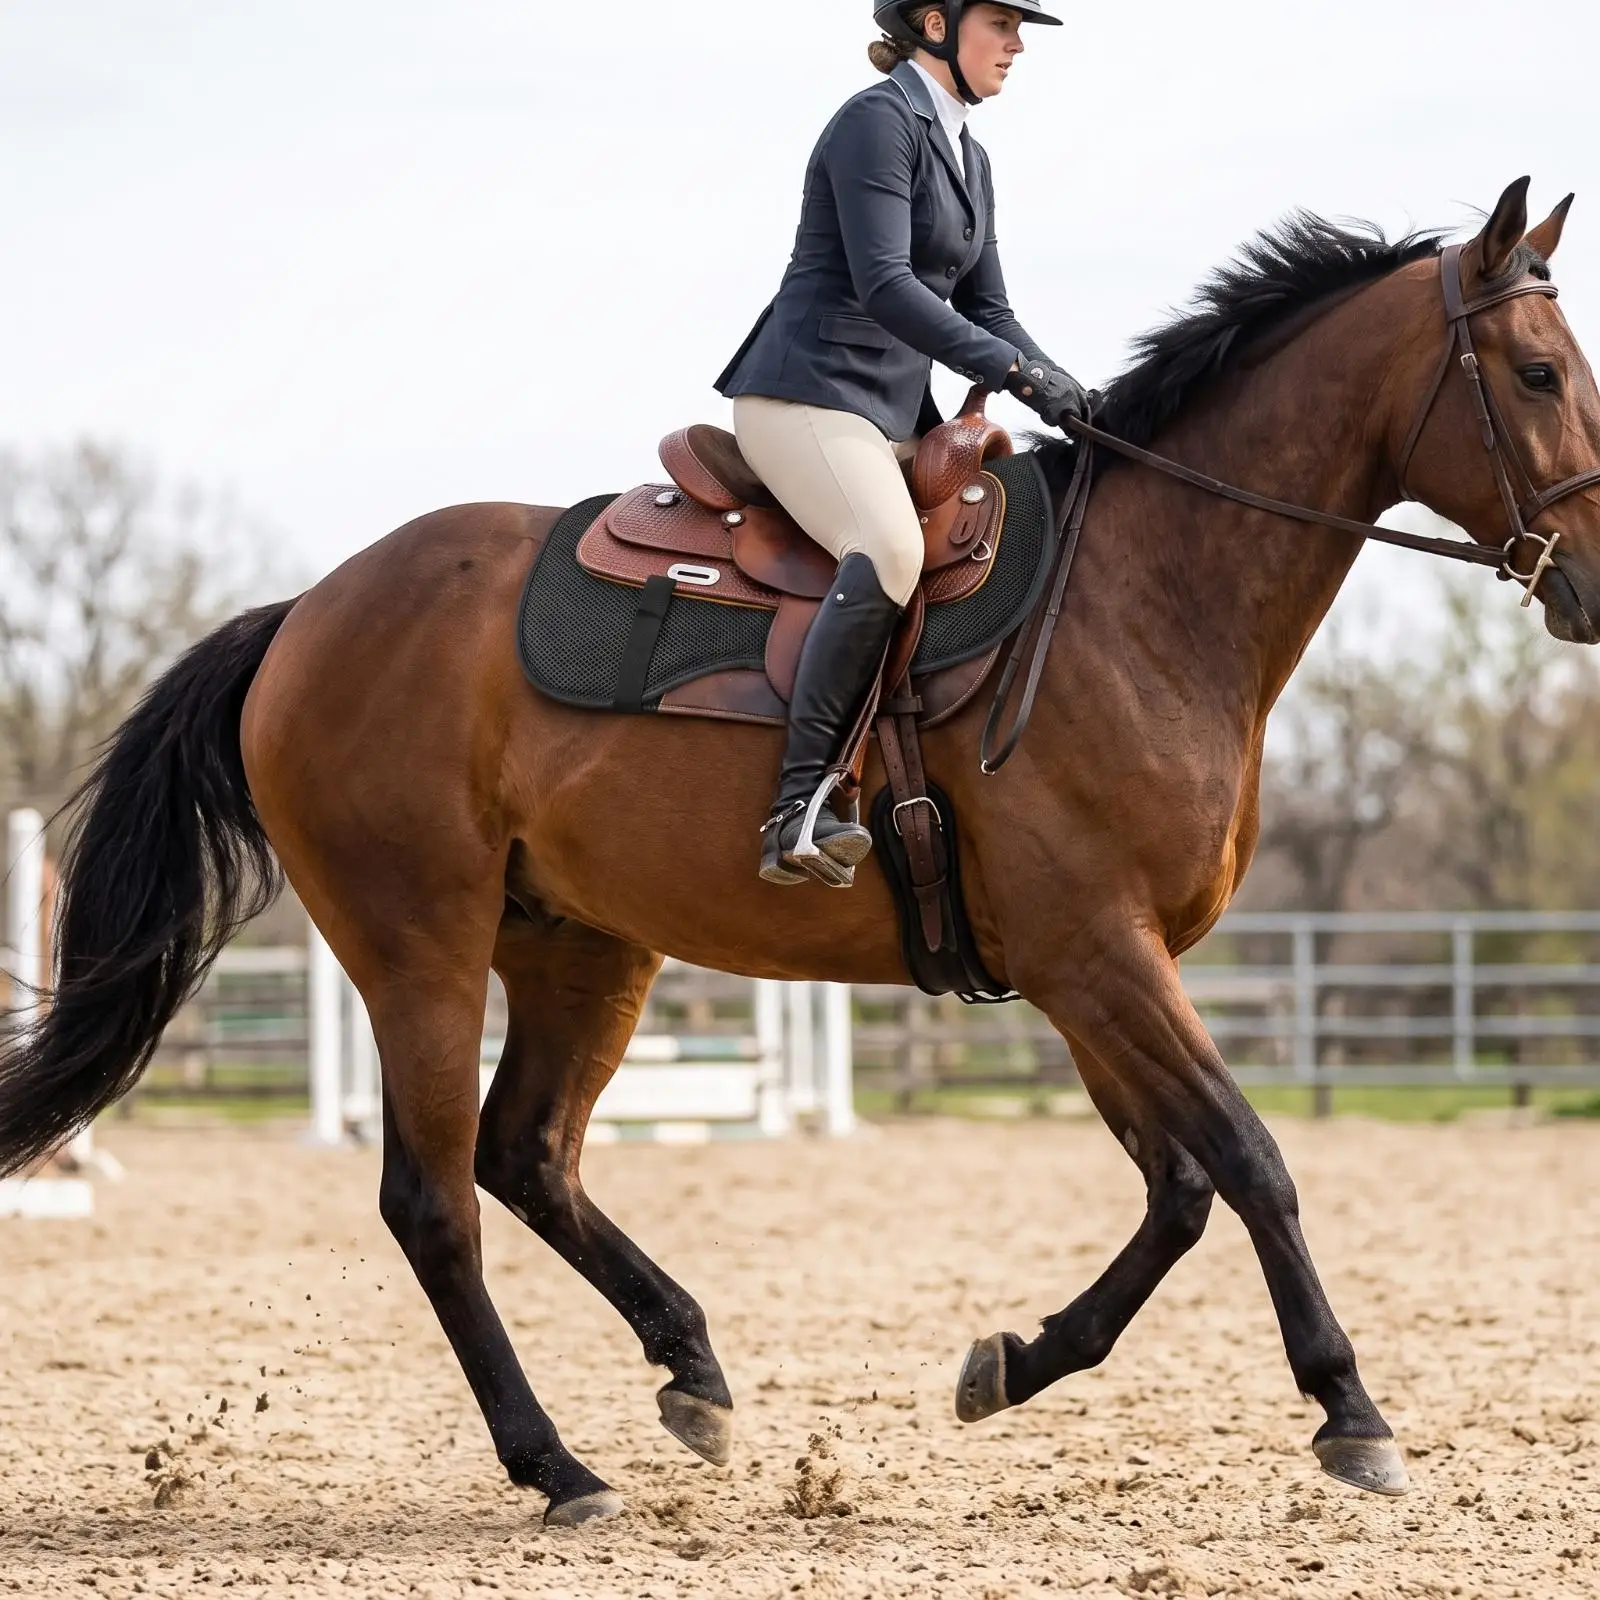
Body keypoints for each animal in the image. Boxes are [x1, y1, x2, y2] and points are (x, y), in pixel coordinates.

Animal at [1, 177, 1596, 1527]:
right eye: (1536, 375)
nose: (1587, 583)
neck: (1145, 597)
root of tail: (308, 612)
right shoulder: (1099, 953)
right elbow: (1253, 1162)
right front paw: (1351, 1412)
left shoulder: (1085, 971)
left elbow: (1181, 1186)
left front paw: (1012, 1362)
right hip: (420, 948)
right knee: (435, 1199)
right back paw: (556, 1465)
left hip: (583, 945)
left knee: (529, 1154)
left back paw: (691, 1371)